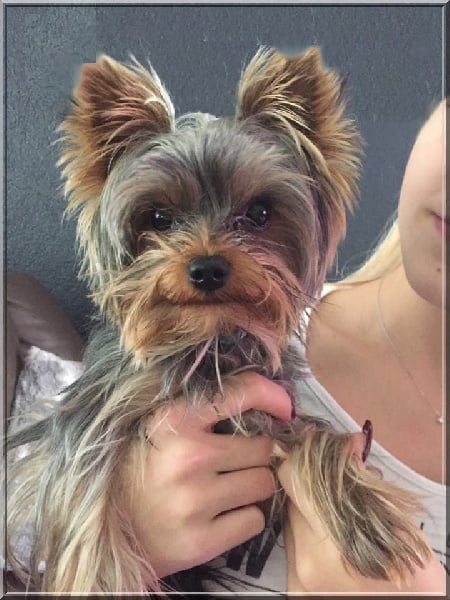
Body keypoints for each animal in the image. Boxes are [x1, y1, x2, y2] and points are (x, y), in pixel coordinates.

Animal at [7, 46, 432, 593]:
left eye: (260, 212)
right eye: (159, 218)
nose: (207, 268)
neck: (209, 343)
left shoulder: (271, 402)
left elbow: (319, 438)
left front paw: (367, 517)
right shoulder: (97, 417)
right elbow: (90, 523)